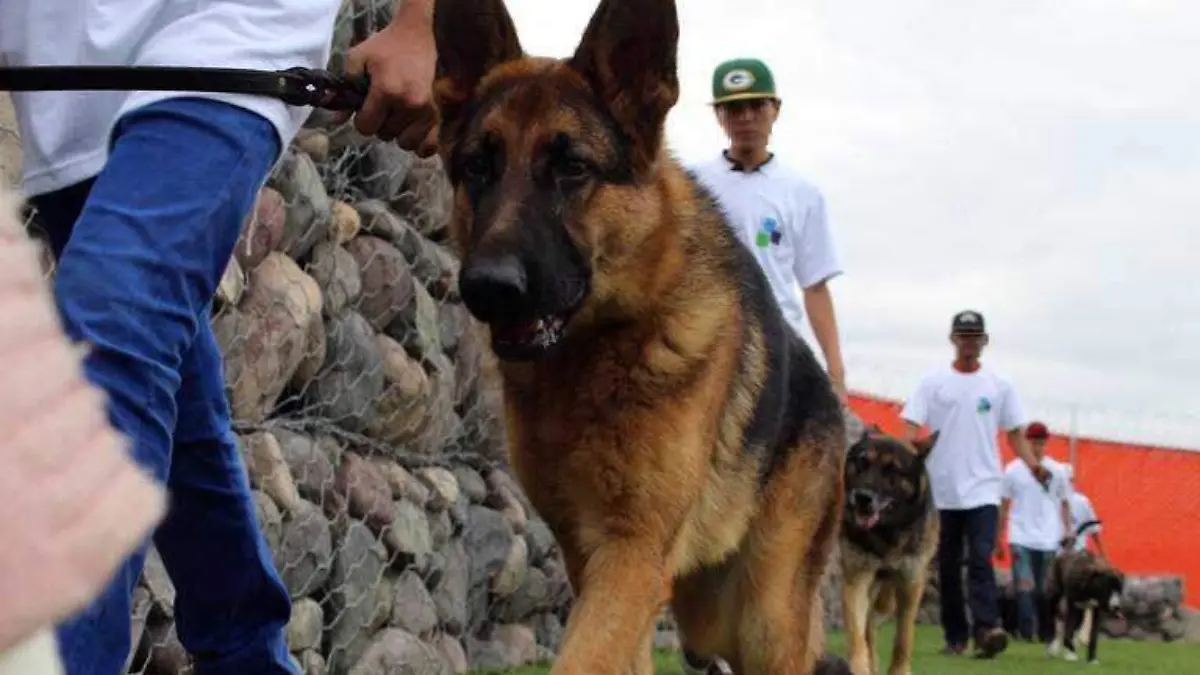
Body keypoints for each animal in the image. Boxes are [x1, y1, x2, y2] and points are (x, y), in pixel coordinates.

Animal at [417, 0, 849, 667]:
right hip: (703, 612)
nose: (488, 286)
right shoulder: (594, 558)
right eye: (477, 167)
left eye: (572, 168)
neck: (595, 358)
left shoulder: (633, 552)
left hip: (764, 618)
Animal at [835, 425, 936, 672]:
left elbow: (904, 636)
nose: (862, 498)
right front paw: (859, 667)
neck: (885, 532)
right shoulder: (857, 576)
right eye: (863, 462)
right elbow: (856, 632)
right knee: (869, 626)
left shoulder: (911, 581)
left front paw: (900, 670)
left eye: (893, 470)